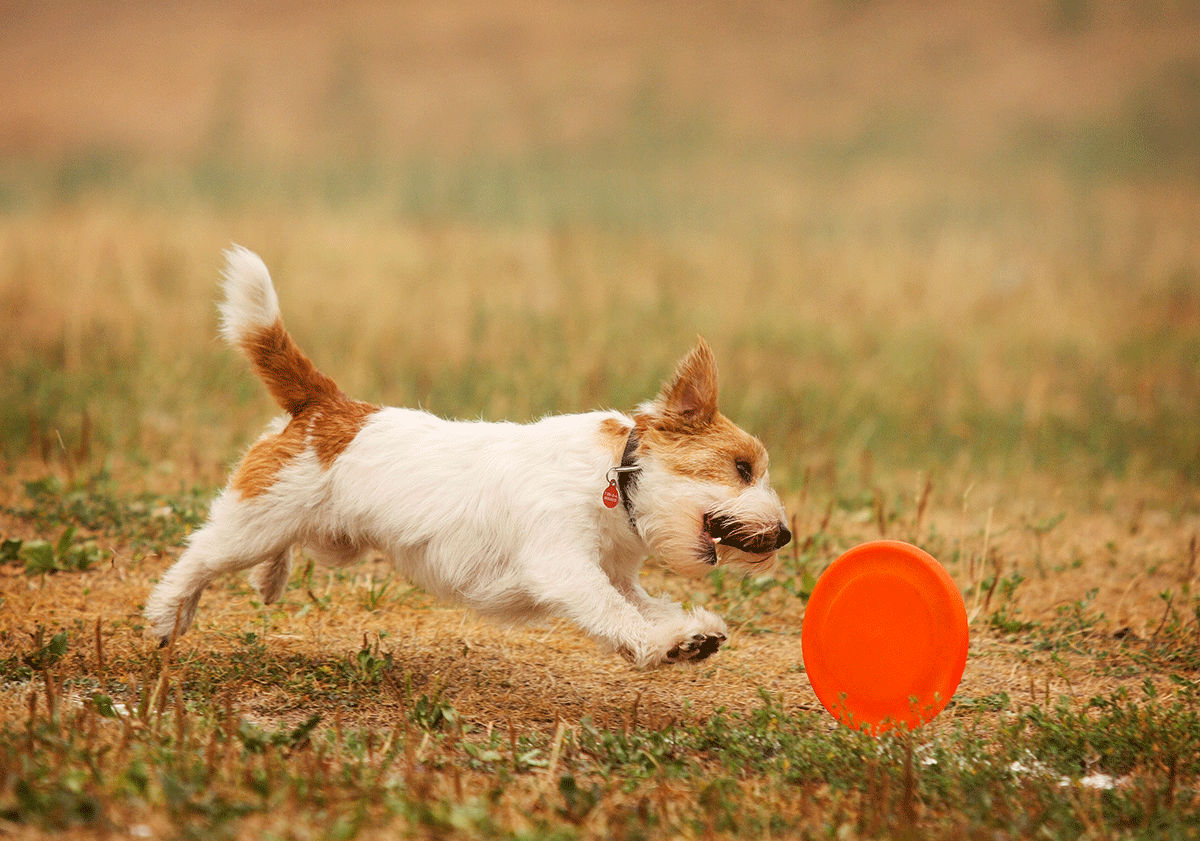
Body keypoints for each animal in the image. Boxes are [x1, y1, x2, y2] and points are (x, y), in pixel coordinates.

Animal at [145, 245, 792, 667]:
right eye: (741, 469)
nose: (786, 534)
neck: (612, 476)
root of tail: (327, 405)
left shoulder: (615, 573)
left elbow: (646, 603)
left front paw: (692, 632)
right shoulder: (566, 567)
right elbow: (615, 613)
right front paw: (665, 643)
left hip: (327, 539)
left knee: (278, 548)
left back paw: (267, 577)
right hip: (252, 523)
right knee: (198, 558)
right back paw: (168, 614)